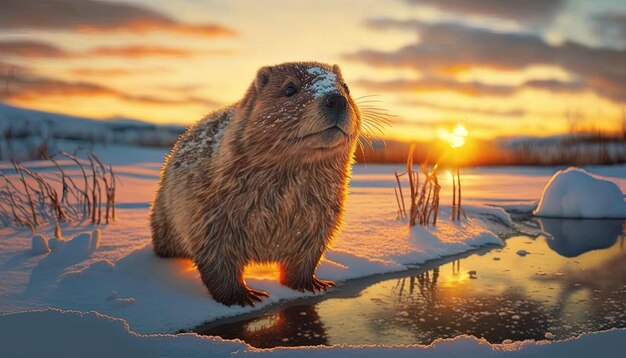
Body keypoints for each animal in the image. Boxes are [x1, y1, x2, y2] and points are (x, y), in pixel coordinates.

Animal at [148, 60, 358, 304]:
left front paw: (313, 284)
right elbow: (215, 253)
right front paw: (244, 296)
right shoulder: (206, 203)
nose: (336, 99)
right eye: (290, 88)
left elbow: (308, 252)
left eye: (346, 87)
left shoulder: (323, 212)